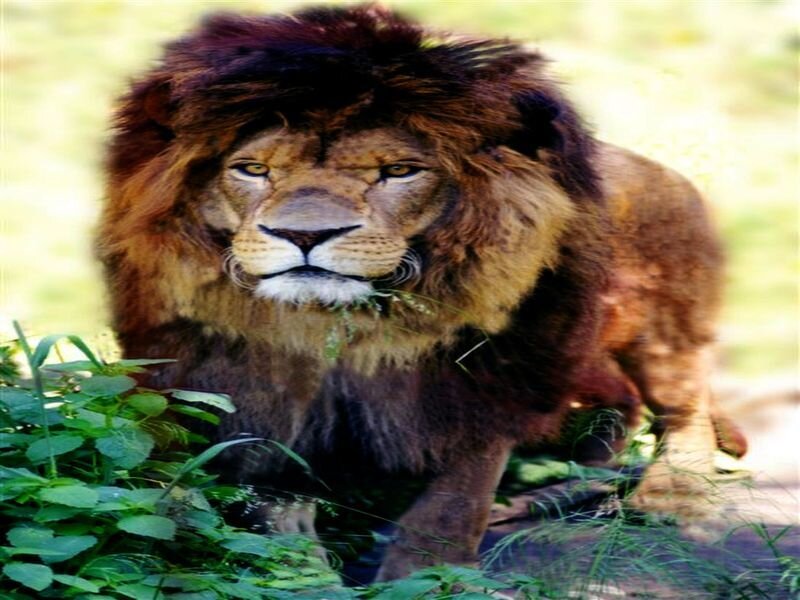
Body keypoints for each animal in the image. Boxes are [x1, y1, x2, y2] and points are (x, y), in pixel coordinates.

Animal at [97, 5, 747, 580]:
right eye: (254, 170)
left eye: (398, 172)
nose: (303, 235)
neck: (342, 325)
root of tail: (666, 171)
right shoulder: (248, 388)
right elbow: (269, 501)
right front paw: (294, 571)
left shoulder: (479, 382)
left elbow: (451, 501)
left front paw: (427, 575)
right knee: (619, 407)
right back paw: (558, 490)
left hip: (659, 329)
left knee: (683, 409)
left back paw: (668, 500)